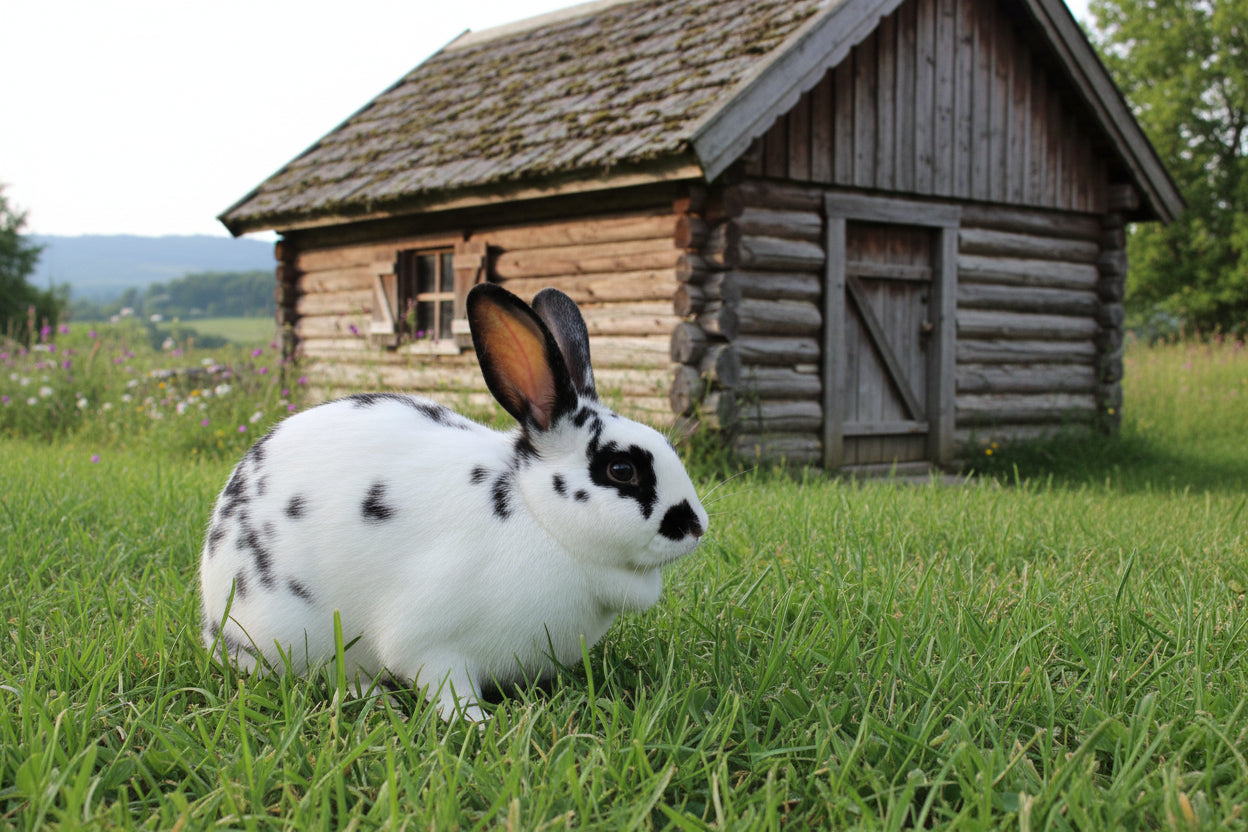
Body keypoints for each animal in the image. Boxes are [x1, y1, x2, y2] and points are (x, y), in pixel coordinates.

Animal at [200, 283, 708, 720]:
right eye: (621, 470)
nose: (697, 526)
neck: (540, 517)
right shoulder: (432, 642)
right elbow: (444, 686)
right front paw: (480, 724)